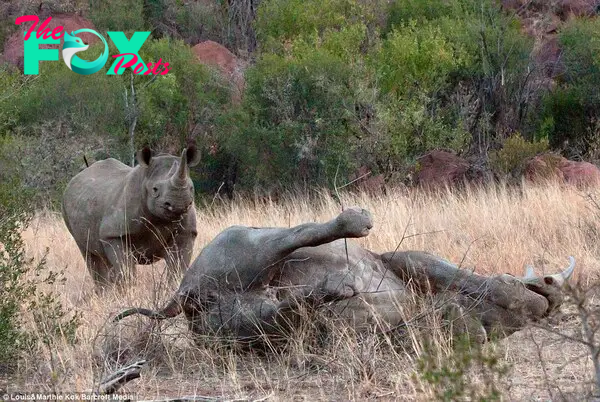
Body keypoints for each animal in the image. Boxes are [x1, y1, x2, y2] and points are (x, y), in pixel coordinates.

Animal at [63, 144, 200, 288]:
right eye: (155, 189)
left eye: (191, 188)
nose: (178, 204)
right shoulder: (113, 234)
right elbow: (126, 271)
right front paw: (128, 291)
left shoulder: (186, 232)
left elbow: (177, 269)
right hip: (67, 207)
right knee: (90, 255)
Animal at [113, 209, 576, 344]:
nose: (546, 288)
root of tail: (183, 294)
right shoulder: (411, 258)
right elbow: (476, 279)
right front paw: (533, 293)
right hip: (243, 241)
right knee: (295, 237)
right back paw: (355, 223)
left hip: (235, 325)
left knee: (282, 311)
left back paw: (329, 292)